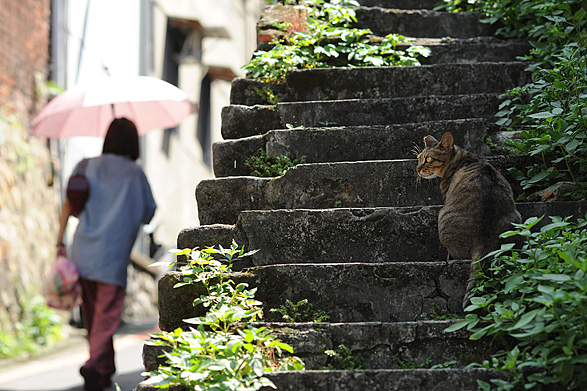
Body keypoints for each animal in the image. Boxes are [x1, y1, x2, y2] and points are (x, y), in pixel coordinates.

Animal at [416, 132, 520, 310]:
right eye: (418, 158)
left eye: (428, 159)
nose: (417, 169)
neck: (463, 158)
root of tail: (484, 239)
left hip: (443, 217)